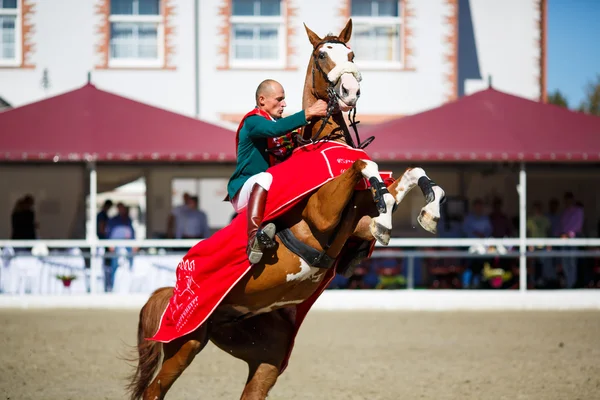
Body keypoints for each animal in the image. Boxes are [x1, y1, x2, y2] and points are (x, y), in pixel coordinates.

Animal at [126, 19, 446, 400]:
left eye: (352, 54)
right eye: (322, 55)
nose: (350, 90)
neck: (324, 143)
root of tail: (170, 292)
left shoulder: (356, 222)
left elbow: (410, 176)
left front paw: (429, 212)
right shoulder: (322, 215)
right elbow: (364, 165)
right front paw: (388, 219)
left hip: (265, 357)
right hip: (185, 343)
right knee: (154, 389)